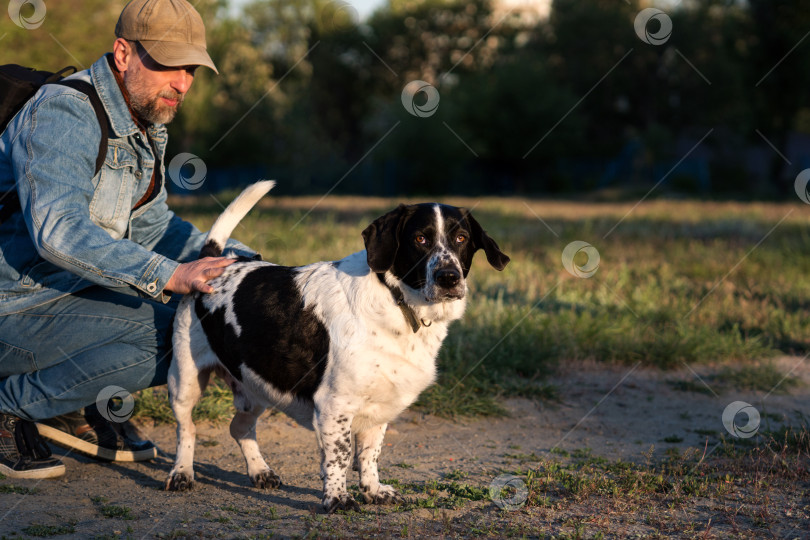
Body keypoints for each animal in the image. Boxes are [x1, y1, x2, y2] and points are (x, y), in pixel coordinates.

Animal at [164, 180, 508, 510]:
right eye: (420, 239)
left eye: (461, 238)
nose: (449, 277)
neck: (396, 300)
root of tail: (214, 260)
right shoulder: (335, 405)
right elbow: (340, 457)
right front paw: (337, 498)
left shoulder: (378, 406)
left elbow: (369, 454)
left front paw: (373, 491)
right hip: (185, 381)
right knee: (186, 429)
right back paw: (182, 473)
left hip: (254, 385)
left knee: (240, 427)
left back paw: (260, 471)